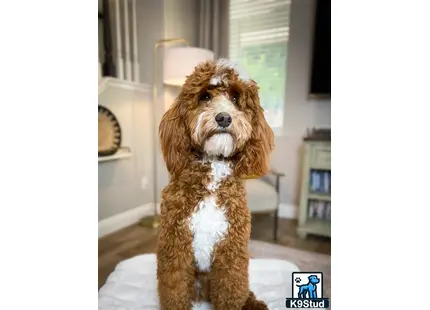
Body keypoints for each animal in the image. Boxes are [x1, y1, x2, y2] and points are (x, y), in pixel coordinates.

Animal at [156, 58, 274, 310]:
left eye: (236, 98)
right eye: (205, 96)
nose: (224, 118)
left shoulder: (232, 251)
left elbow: (231, 289)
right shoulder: (174, 245)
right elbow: (174, 289)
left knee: (244, 292)